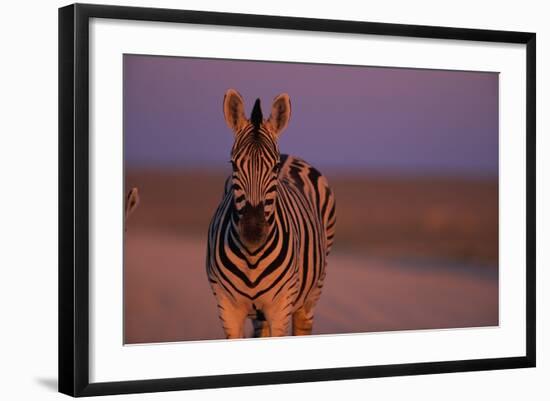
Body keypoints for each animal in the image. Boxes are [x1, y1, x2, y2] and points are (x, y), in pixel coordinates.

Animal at [207, 90, 336, 338]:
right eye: (234, 165)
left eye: (275, 167)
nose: (253, 232)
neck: (252, 258)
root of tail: (289, 155)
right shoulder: (227, 308)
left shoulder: (281, 307)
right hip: (260, 315)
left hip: (313, 292)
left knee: (303, 325)